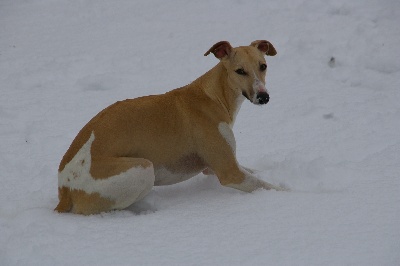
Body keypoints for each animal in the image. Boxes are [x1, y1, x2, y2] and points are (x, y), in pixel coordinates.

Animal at [54, 39, 282, 215]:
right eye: (240, 71)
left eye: (263, 66)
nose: (264, 97)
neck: (213, 95)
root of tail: (65, 189)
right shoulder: (230, 172)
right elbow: (272, 187)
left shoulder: (216, 165)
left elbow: (256, 171)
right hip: (142, 169)